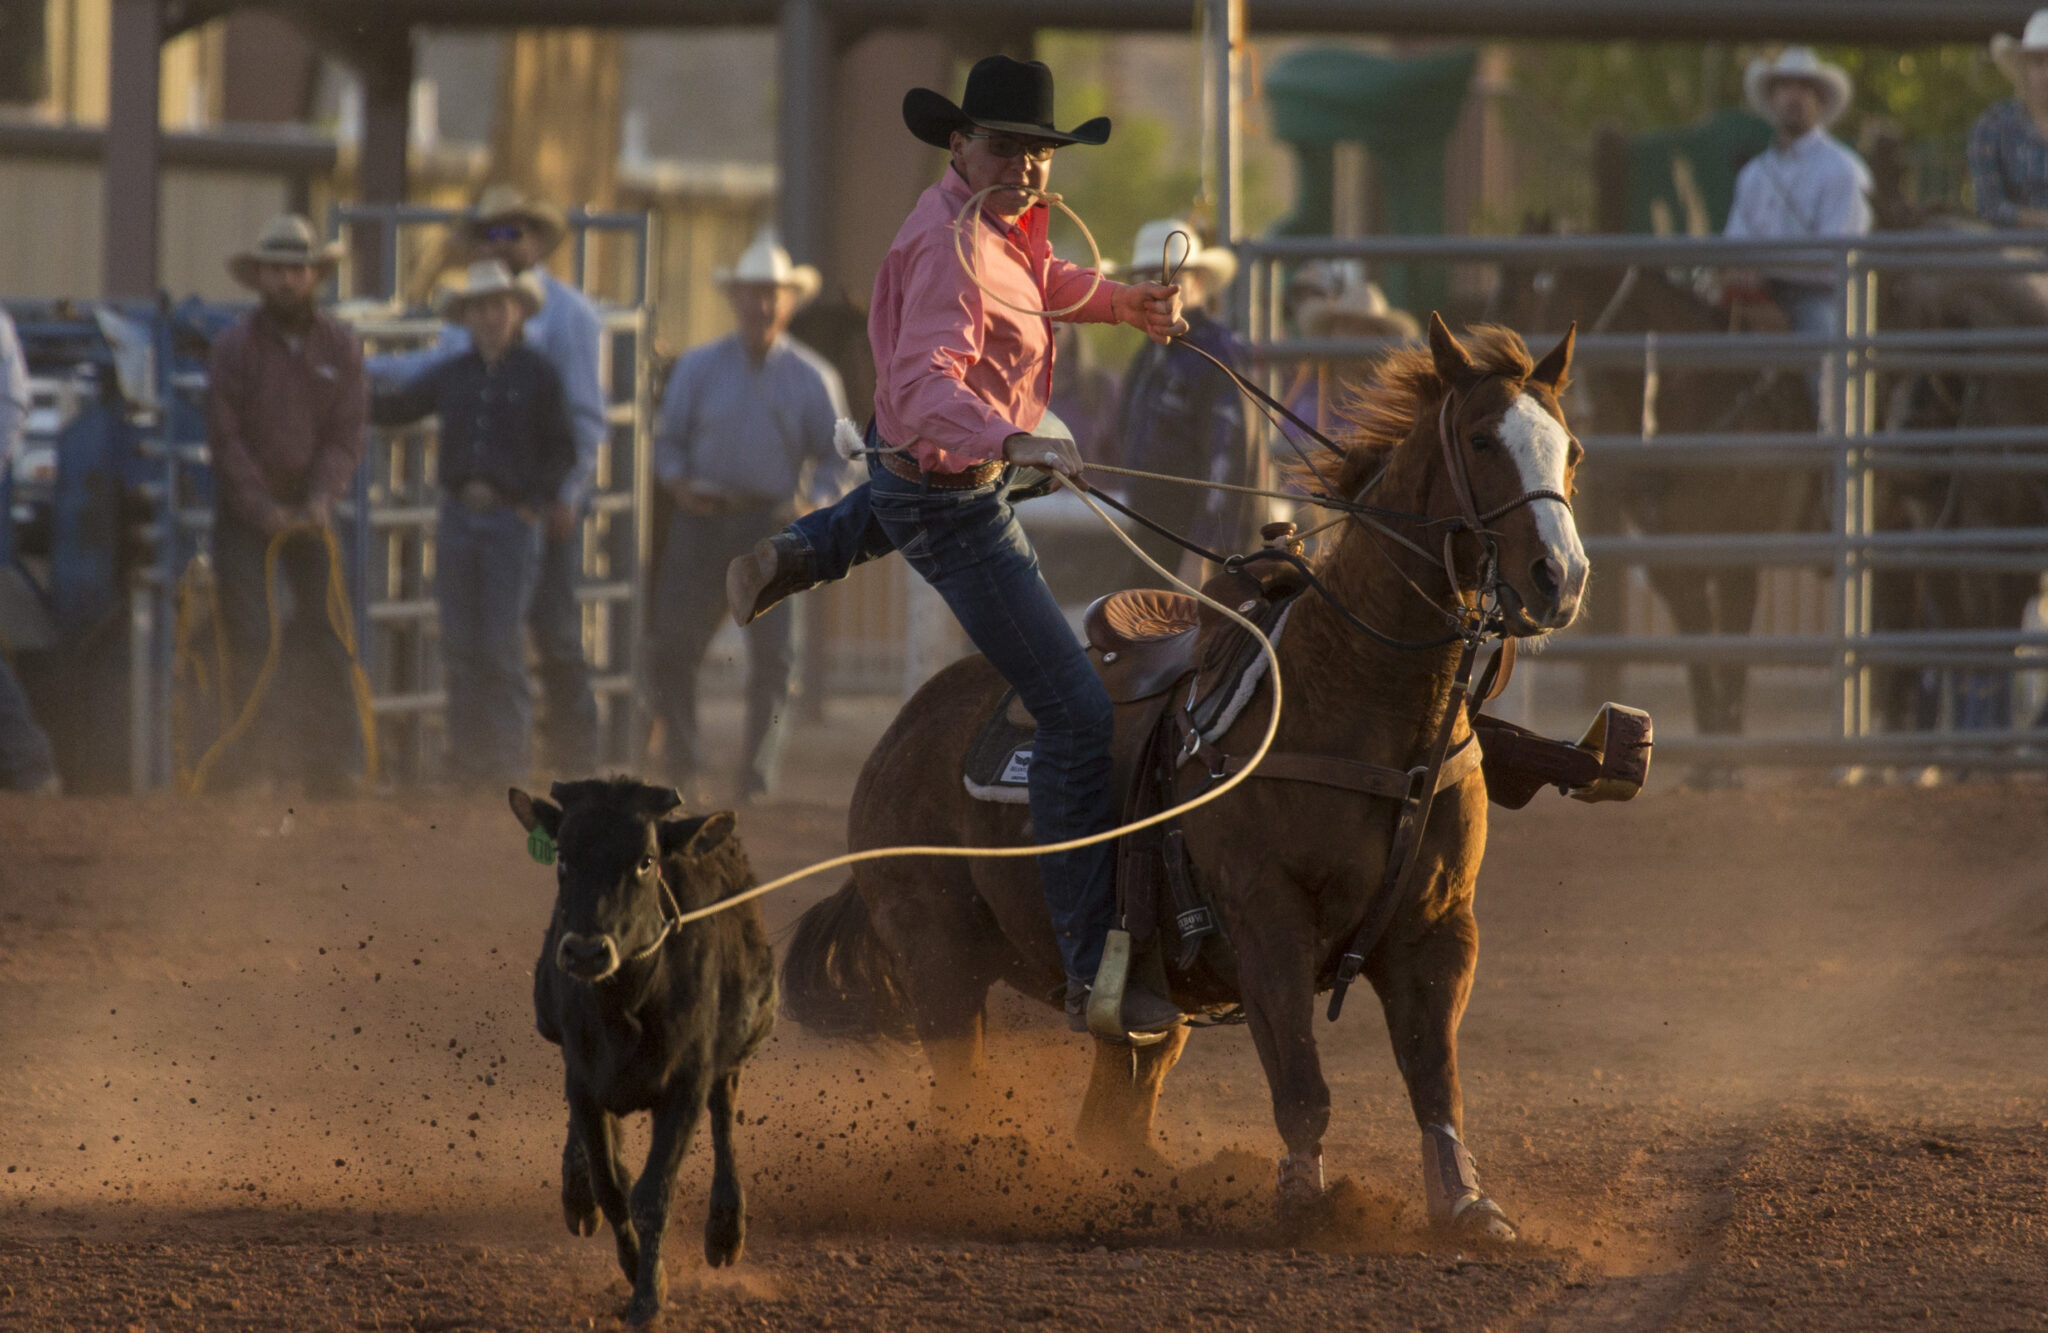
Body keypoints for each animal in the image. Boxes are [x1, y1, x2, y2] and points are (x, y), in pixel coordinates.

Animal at [512, 778, 774, 1326]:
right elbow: (613, 1186)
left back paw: (726, 1228)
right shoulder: (583, 1081)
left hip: (742, 1040)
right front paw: (633, 1266)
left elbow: (653, 1196)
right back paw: (577, 1195)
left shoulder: (685, 1086)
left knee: (724, 1110)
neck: (626, 1005)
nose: (585, 952)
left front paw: (650, 1297)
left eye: (646, 860)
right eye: (563, 855)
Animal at [778, 321, 1581, 1244]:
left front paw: (1468, 1205)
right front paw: (1305, 1203)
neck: (1357, 698)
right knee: (960, 1104)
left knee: (1110, 1116)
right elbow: (1301, 1083)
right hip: (937, 956)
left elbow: (1435, 1080)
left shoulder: (1441, 928)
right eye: (1483, 440)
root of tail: (901, 735)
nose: (1561, 577)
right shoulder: (1267, 918)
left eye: (1571, 450)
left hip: (1137, 1004)